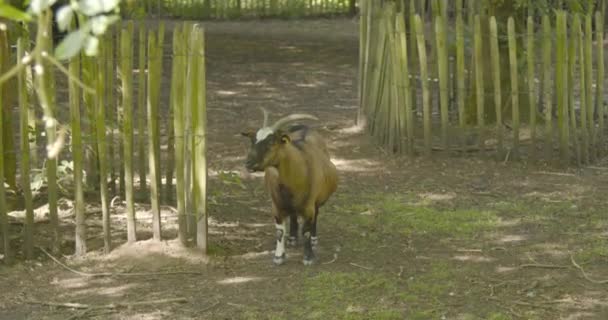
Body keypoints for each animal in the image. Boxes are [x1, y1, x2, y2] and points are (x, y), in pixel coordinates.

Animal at [241, 109, 338, 266]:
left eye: (271, 141)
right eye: (252, 140)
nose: (249, 163)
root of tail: (303, 126)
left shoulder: (309, 206)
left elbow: (306, 231)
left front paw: (308, 257)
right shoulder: (277, 205)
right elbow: (280, 232)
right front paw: (279, 256)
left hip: (316, 200)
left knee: (315, 215)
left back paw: (314, 239)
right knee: (293, 214)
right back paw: (292, 238)